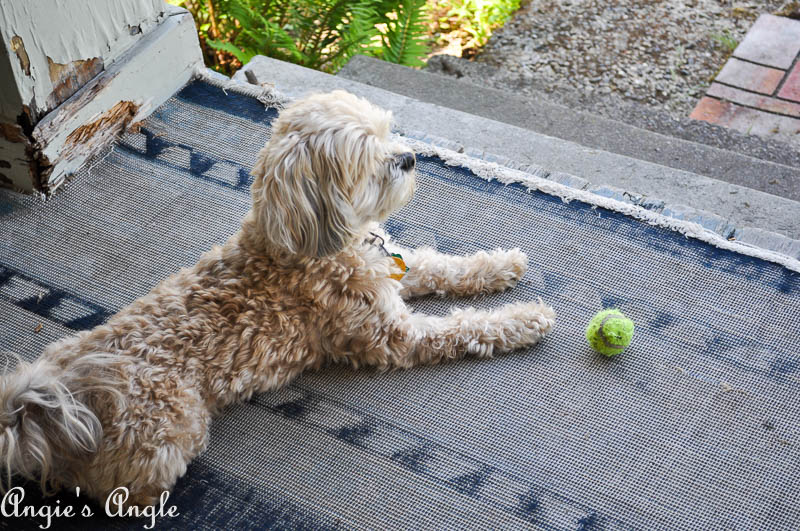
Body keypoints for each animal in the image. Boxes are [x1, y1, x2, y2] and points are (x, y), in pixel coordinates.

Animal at [0, 90, 556, 508]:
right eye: (366, 159)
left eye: (385, 132)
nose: (409, 157)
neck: (315, 244)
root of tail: (52, 400)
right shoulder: (394, 337)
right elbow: (465, 326)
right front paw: (526, 317)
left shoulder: (391, 270)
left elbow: (442, 265)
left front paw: (503, 265)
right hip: (174, 430)